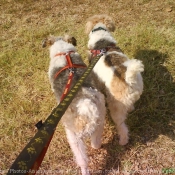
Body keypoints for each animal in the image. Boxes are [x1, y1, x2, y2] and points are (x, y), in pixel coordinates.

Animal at [42, 34, 105, 174]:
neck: (64, 53)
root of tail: (85, 105)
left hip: (74, 138)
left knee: (83, 161)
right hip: (99, 125)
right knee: (95, 143)